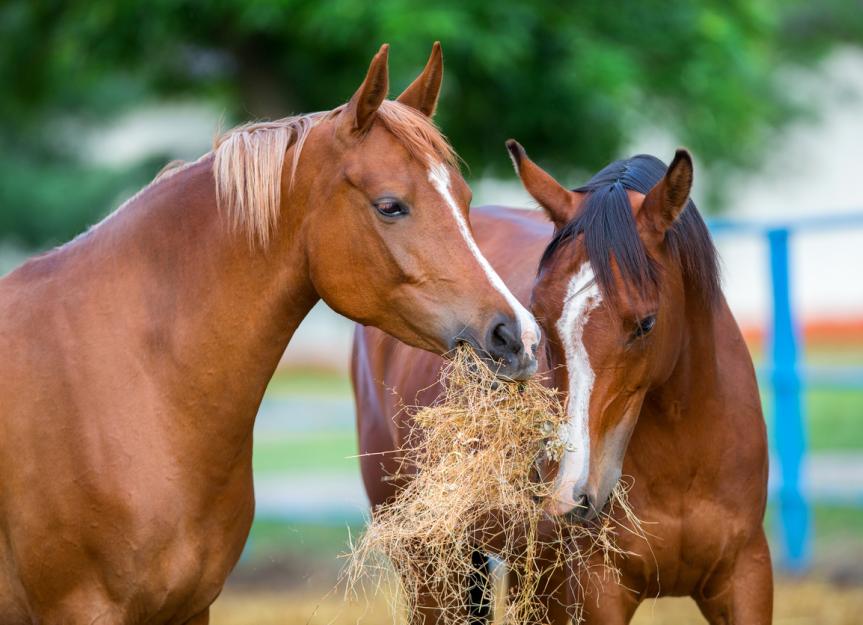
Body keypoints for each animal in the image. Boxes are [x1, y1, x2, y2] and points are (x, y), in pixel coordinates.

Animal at [354, 144, 772, 620]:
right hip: (431, 567)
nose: (571, 493)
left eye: (646, 323)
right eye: (539, 315)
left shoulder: (746, 578)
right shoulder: (593, 593)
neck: (684, 458)